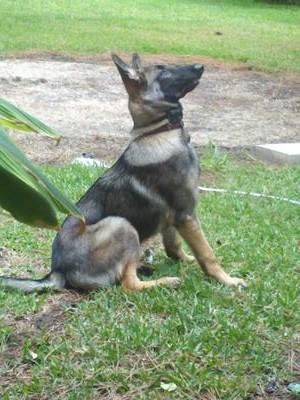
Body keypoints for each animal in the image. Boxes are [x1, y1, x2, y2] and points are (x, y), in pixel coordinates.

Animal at [0, 54, 246, 290]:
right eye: (163, 71)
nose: (200, 67)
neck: (157, 130)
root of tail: (56, 272)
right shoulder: (185, 214)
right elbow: (207, 254)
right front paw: (227, 280)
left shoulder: (172, 218)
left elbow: (173, 246)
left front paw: (186, 260)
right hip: (121, 225)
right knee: (129, 284)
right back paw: (164, 282)